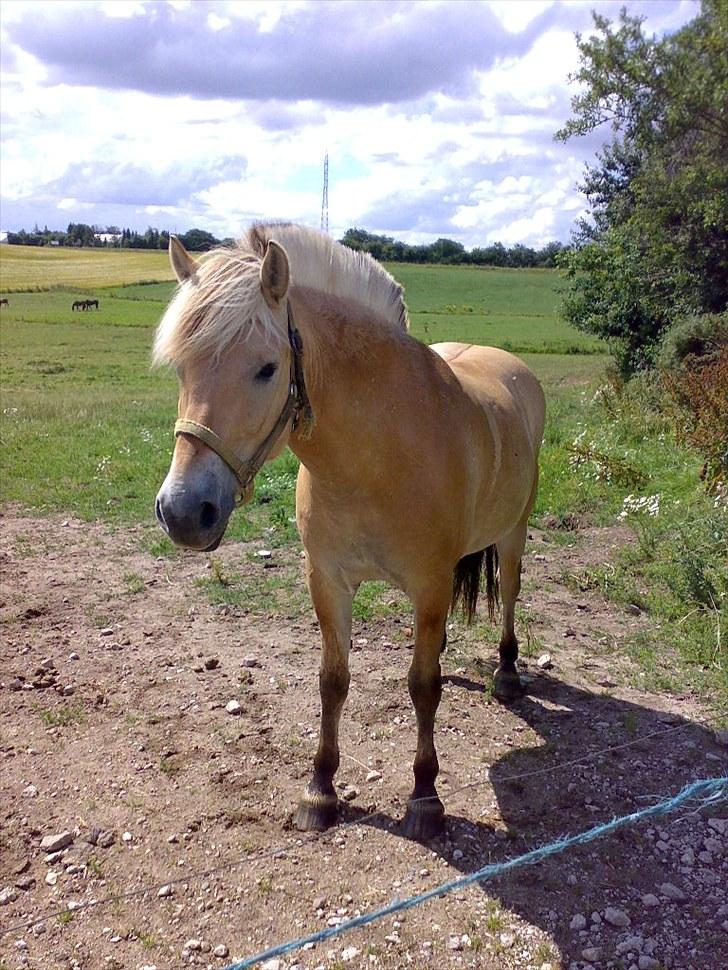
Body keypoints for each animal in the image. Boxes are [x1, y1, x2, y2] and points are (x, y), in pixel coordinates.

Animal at [154, 223, 544, 836]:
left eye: (267, 368)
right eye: (180, 369)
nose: (184, 511)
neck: (377, 453)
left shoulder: (431, 584)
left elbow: (423, 686)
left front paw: (425, 798)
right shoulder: (328, 580)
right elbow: (332, 681)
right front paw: (320, 789)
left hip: (512, 535)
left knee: (507, 593)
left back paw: (507, 672)